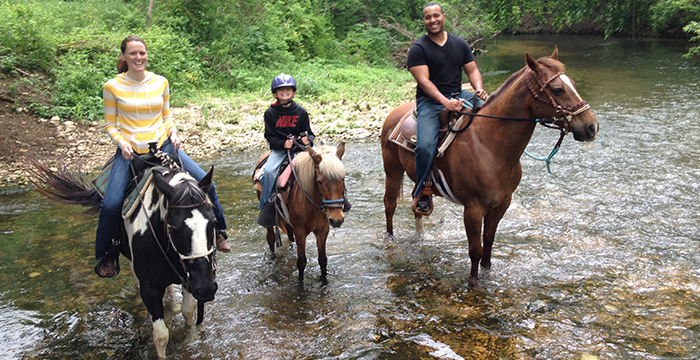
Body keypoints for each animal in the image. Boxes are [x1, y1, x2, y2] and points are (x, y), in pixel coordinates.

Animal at [26, 158, 219, 358]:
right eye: (174, 227)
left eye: (213, 222)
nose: (206, 289)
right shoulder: (150, 288)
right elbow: (160, 336)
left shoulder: (188, 277)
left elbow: (187, 312)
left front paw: (191, 340)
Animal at [254, 143, 348, 282]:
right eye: (319, 181)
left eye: (342, 178)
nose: (337, 220)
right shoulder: (300, 231)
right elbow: (302, 261)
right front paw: (300, 282)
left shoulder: (323, 229)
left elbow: (323, 260)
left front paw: (324, 281)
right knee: (270, 239)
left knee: (289, 234)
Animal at [380, 47, 600, 284]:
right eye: (558, 90)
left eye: (573, 84)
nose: (591, 127)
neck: (488, 145)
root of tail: (394, 112)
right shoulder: (473, 209)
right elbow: (475, 250)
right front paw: (474, 283)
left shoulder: (502, 203)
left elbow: (489, 243)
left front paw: (487, 274)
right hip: (392, 171)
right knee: (390, 205)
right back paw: (390, 240)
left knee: (417, 204)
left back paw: (421, 236)